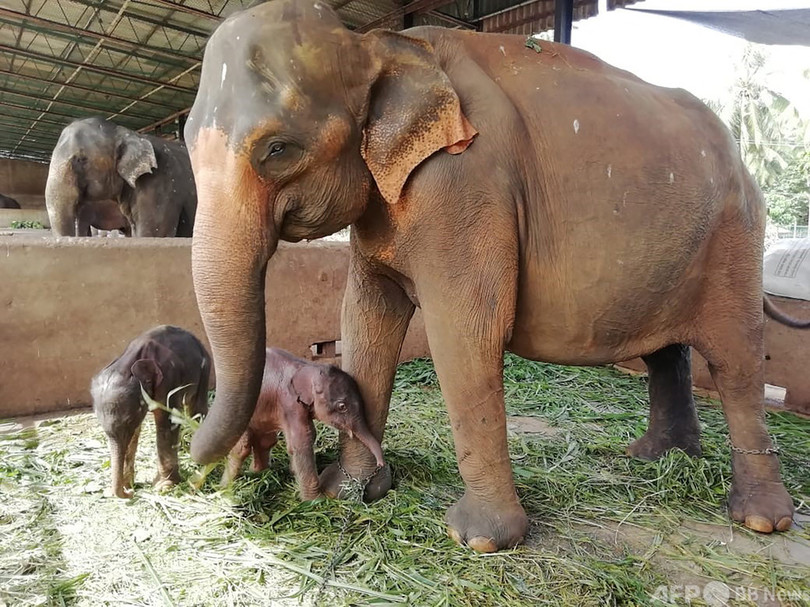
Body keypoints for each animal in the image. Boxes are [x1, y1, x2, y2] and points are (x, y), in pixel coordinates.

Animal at [90, 326, 210, 502]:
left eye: (129, 419)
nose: (129, 494)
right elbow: (134, 434)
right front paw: (128, 485)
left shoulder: (169, 379)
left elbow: (167, 423)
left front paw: (164, 487)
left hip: (205, 369)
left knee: (197, 408)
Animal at [221, 350, 386, 502]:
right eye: (342, 407)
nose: (381, 464)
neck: (308, 367)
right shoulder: (289, 403)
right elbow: (302, 441)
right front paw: (315, 501)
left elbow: (308, 436)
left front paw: (294, 473)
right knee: (242, 447)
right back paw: (224, 486)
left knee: (265, 441)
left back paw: (257, 473)